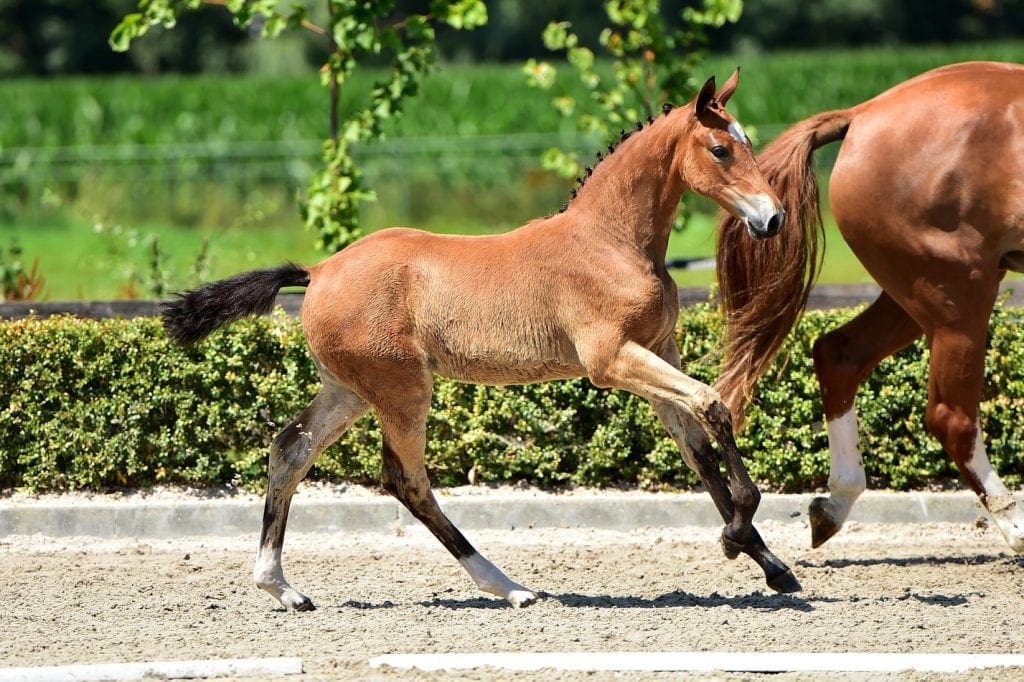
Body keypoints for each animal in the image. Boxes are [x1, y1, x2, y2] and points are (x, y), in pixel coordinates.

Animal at [163, 71, 800, 612]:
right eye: (720, 150)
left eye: (747, 141)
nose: (772, 219)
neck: (611, 242)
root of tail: (318, 271)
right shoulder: (612, 359)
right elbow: (713, 406)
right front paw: (736, 533)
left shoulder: (656, 351)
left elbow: (697, 447)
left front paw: (772, 565)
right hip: (402, 390)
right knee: (407, 479)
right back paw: (508, 586)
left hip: (349, 390)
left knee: (289, 450)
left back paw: (283, 588)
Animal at [715, 61, 1024, 554]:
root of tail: (862, 114)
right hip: (957, 294)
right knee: (952, 416)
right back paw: (1016, 530)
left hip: (915, 297)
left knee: (838, 354)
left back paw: (832, 506)